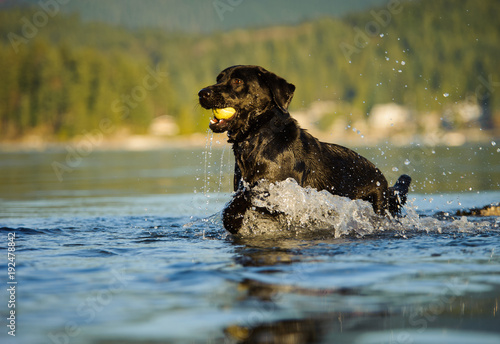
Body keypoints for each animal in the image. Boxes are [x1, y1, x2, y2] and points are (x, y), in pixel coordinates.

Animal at [198, 65, 410, 234]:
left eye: (237, 80)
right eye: (219, 79)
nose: (202, 92)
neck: (259, 138)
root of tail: (384, 181)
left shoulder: (279, 191)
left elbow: (247, 198)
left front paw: (232, 217)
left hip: (380, 205)